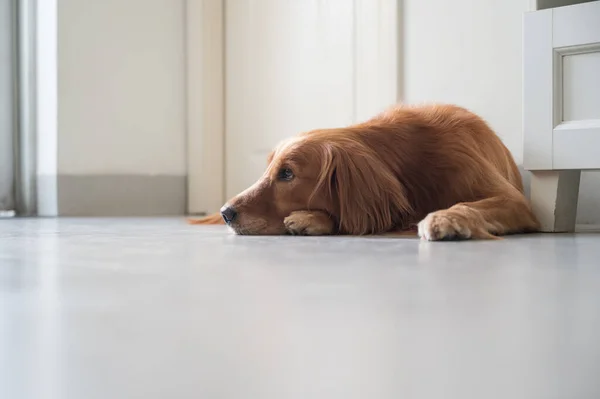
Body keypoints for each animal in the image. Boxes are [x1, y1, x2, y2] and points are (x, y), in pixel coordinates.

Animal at [192, 104, 540, 241]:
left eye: (287, 174)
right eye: (269, 170)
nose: (225, 213)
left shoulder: (515, 201)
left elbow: (466, 204)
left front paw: (445, 218)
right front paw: (311, 219)